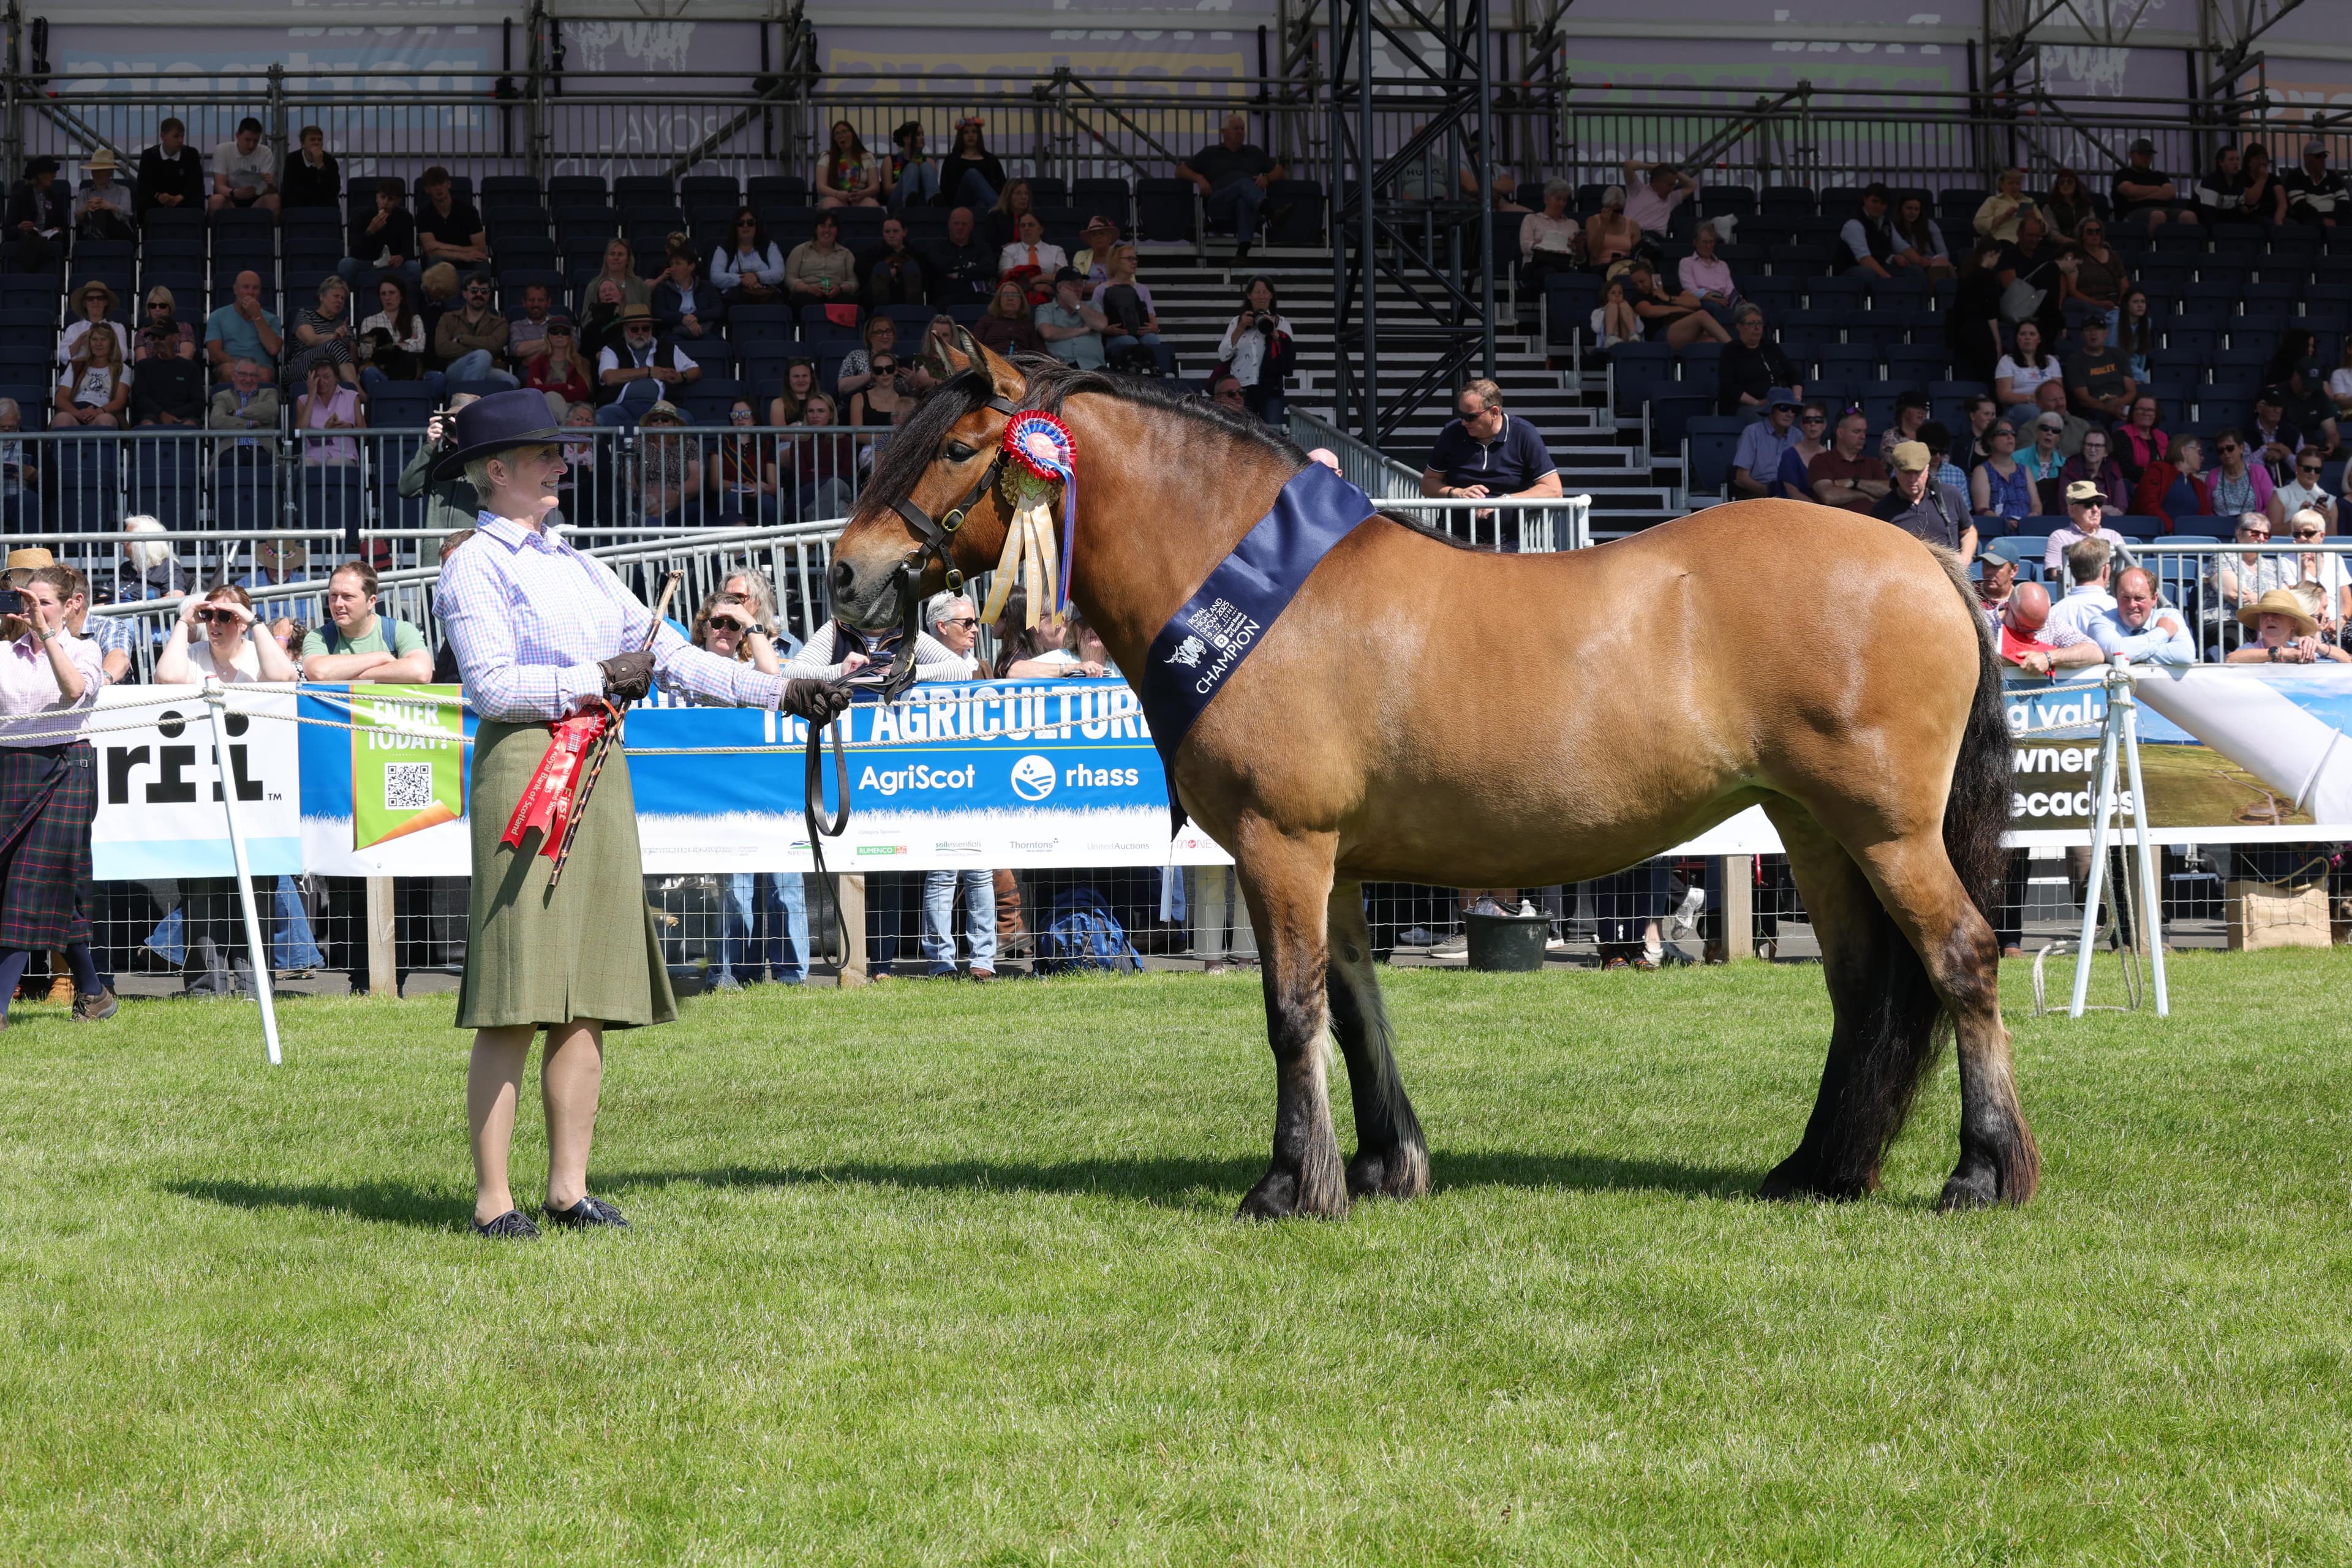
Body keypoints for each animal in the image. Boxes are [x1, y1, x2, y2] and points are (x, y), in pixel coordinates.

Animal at [826, 335, 2036, 1219]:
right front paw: (1381, 1167)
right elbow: (1357, 1006)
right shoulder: (1336, 863)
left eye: (953, 449)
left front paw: (1290, 1187)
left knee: (1963, 960)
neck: (1258, 590)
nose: (847, 578)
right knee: (1864, 989)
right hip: (1815, 831)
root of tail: (1923, 555)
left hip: (1886, 832)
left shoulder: (1281, 845)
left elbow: (1292, 1010)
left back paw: (1981, 1173)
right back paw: (1818, 1169)